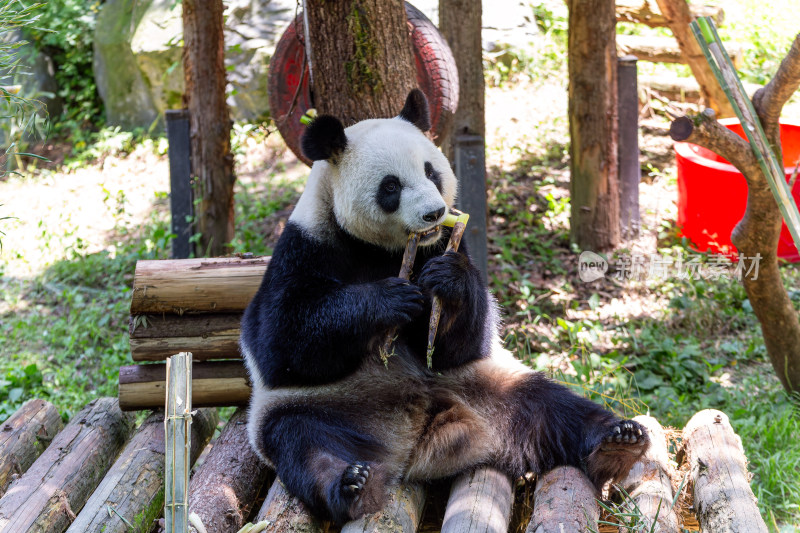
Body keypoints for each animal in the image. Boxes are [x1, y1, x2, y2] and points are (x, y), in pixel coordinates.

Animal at [241, 88, 648, 524]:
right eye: (391, 186)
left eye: (431, 171)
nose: (434, 213)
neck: (384, 250)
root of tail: (416, 442)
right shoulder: (306, 246)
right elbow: (280, 341)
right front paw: (391, 300)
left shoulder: (448, 247)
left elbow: (464, 342)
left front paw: (447, 281)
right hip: (319, 407)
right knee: (306, 443)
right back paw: (351, 485)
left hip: (488, 386)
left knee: (550, 407)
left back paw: (617, 440)